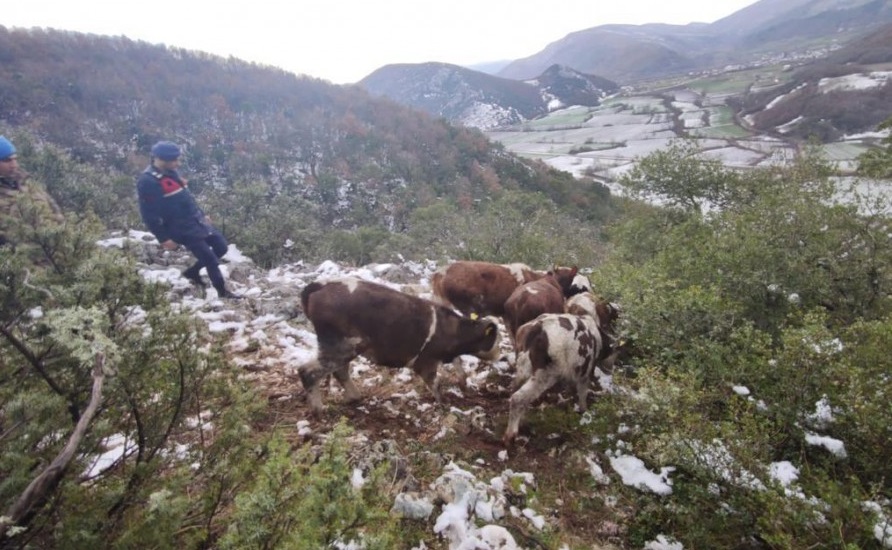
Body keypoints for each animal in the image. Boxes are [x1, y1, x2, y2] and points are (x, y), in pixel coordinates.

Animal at [296, 278, 498, 416]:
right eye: (495, 338)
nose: (501, 355)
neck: (450, 329)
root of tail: (320, 286)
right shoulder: (426, 362)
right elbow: (436, 383)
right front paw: (443, 404)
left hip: (343, 347)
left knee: (339, 371)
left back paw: (354, 397)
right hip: (343, 346)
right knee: (308, 371)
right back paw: (318, 409)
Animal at [502, 298, 620, 448]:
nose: (610, 370)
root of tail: (537, 328)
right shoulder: (585, 372)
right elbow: (582, 393)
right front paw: (584, 411)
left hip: (524, 369)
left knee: (515, 390)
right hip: (545, 374)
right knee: (518, 398)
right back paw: (510, 436)